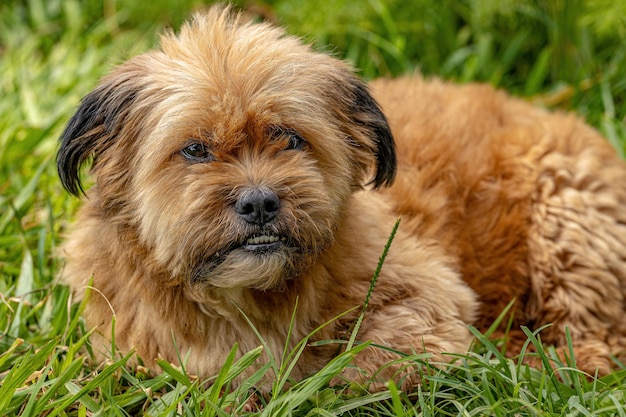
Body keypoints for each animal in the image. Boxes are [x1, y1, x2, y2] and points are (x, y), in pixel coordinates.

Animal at [57, 4, 624, 390]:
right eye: (195, 149)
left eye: (289, 138)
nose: (260, 203)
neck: (252, 298)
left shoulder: (429, 297)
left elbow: (365, 360)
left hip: (569, 220)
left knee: (597, 339)